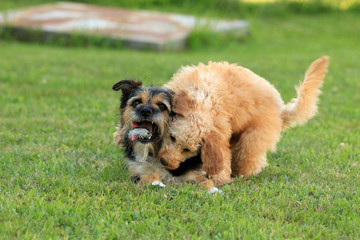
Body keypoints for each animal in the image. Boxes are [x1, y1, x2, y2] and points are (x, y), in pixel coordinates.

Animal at [158, 55, 330, 184]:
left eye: (187, 150)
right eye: (172, 138)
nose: (165, 162)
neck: (204, 96)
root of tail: (281, 110)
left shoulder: (220, 132)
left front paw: (220, 178)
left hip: (253, 139)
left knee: (251, 159)